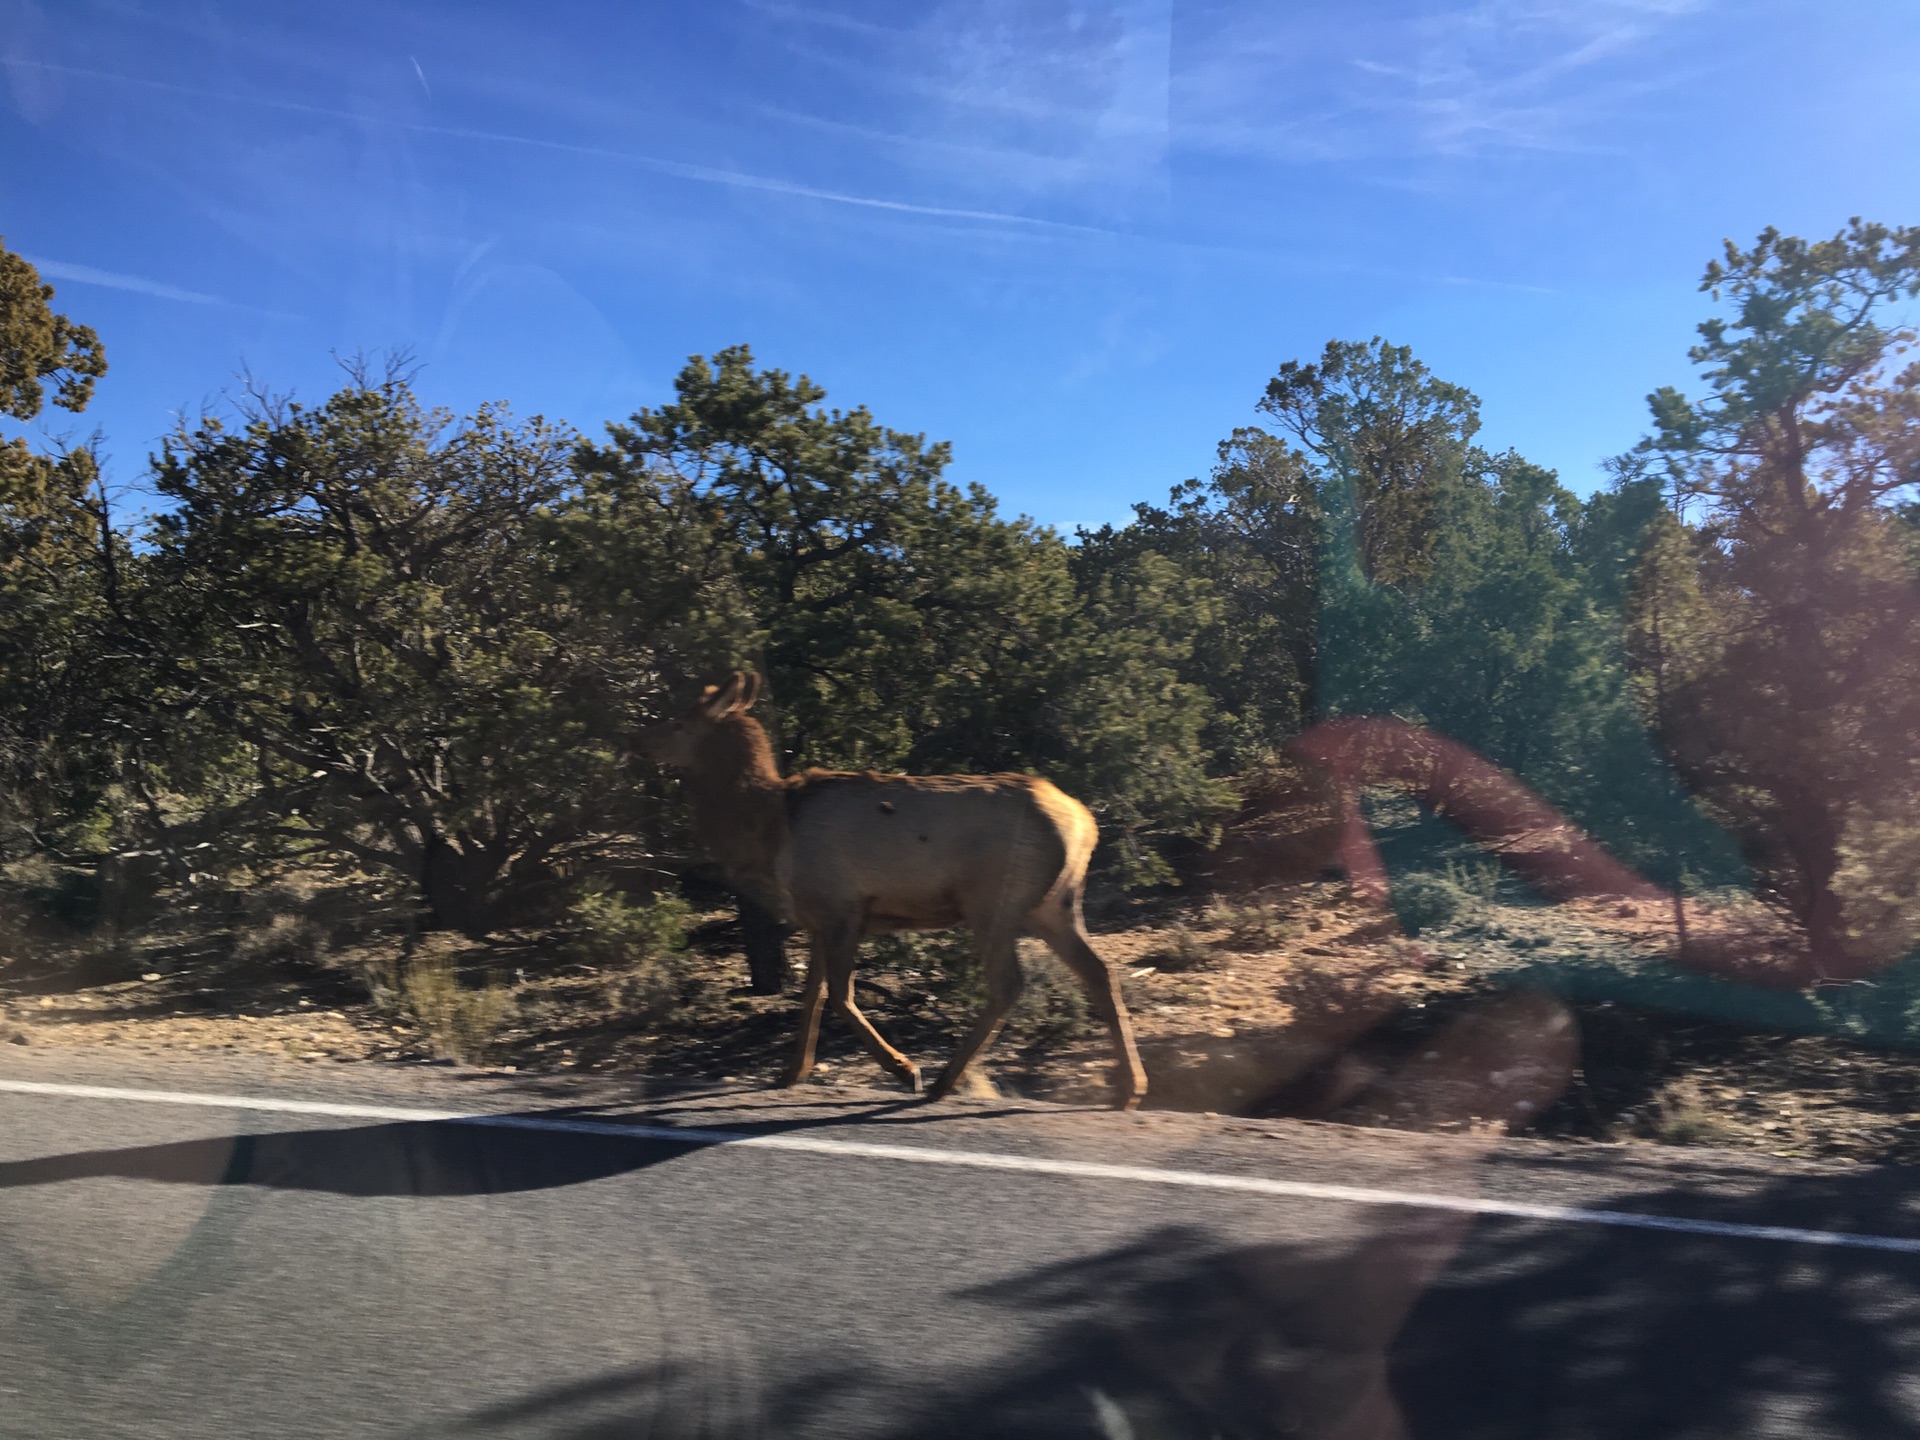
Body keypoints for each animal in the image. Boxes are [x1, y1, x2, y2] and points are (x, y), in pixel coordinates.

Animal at [645, 672, 1144, 1113]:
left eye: (677, 722)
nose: (638, 740)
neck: (766, 832)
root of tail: (1085, 824)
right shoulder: (819, 918)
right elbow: (814, 996)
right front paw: (789, 1073)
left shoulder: (842, 908)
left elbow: (840, 996)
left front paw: (905, 1070)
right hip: (1055, 905)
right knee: (1100, 972)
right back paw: (1129, 1089)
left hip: (993, 902)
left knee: (1009, 983)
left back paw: (943, 1081)